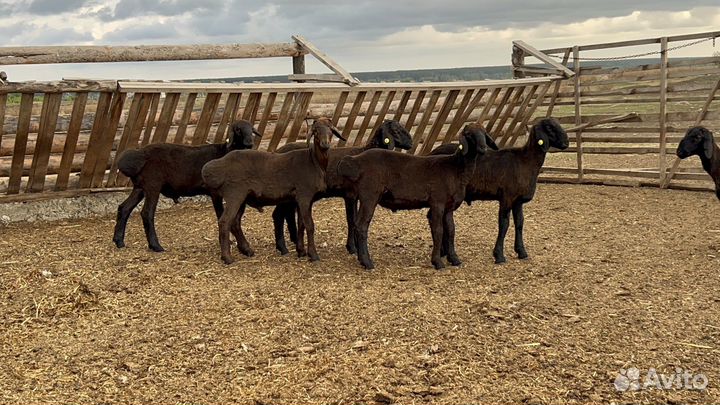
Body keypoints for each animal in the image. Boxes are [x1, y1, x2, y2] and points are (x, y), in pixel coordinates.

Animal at [112, 120, 261, 252]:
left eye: (251, 129)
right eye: (238, 130)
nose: (249, 143)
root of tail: (138, 154)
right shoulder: (215, 193)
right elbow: (220, 215)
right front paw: (228, 241)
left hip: (140, 187)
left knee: (124, 208)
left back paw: (119, 241)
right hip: (152, 185)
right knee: (147, 213)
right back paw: (156, 246)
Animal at [201, 117, 345, 265]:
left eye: (331, 130)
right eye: (315, 131)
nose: (325, 144)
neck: (313, 161)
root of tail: (215, 165)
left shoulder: (302, 199)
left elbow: (301, 224)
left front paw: (301, 251)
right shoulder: (304, 195)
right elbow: (309, 225)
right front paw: (313, 255)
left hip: (241, 198)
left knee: (235, 223)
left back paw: (247, 250)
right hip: (234, 194)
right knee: (224, 222)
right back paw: (227, 257)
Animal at [271, 119, 414, 255]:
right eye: (395, 130)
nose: (411, 143)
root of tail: (277, 150)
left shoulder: (356, 196)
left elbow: (355, 220)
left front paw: (354, 245)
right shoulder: (349, 194)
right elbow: (351, 220)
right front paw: (352, 247)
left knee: (287, 214)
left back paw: (293, 242)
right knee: (278, 215)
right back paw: (282, 247)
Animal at [338, 124, 488, 270]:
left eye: (484, 133)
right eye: (469, 134)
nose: (483, 148)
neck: (456, 168)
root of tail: (356, 160)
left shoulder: (448, 206)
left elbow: (450, 230)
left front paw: (454, 259)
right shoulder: (437, 202)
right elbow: (438, 231)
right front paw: (438, 262)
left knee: (356, 223)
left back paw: (360, 258)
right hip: (370, 195)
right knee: (361, 226)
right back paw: (367, 262)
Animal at [429, 117, 569, 264]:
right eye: (549, 127)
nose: (566, 143)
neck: (525, 161)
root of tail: (432, 152)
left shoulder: (518, 201)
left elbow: (520, 223)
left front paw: (521, 252)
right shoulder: (507, 197)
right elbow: (504, 224)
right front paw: (499, 255)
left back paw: (444, 252)